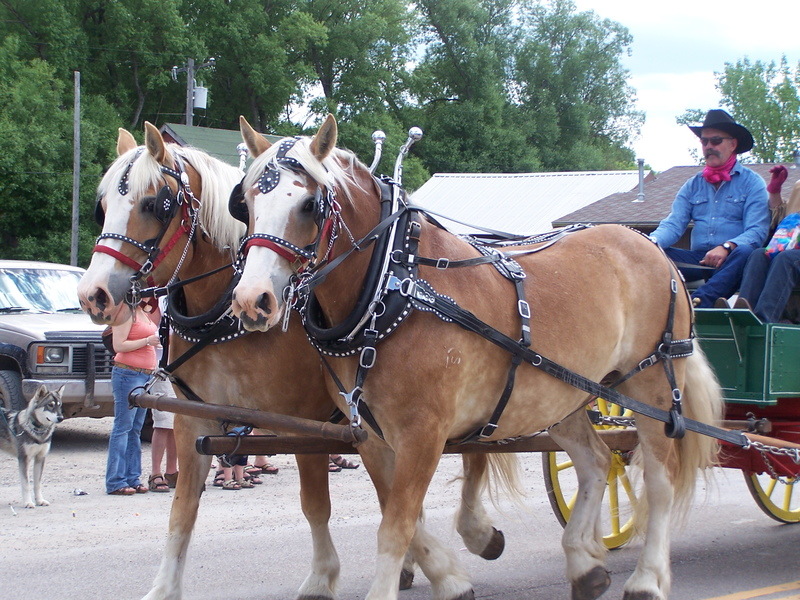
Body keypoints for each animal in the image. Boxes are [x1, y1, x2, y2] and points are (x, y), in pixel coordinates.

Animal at [76, 123, 500, 600]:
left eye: (153, 204)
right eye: (102, 206)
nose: (93, 295)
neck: (223, 306)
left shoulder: (307, 420)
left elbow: (320, 504)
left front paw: (328, 577)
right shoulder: (192, 420)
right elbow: (181, 511)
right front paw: (164, 588)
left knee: (476, 451)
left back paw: (477, 532)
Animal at [230, 113, 724, 600]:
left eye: (308, 205)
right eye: (247, 202)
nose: (253, 300)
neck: (391, 285)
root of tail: (652, 247)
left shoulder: (423, 432)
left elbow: (396, 527)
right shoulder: (371, 436)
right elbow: (403, 516)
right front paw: (457, 564)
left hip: (652, 383)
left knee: (659, 479)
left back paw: (647, 579)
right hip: (563, 396)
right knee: (597, 461)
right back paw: (584, 566)